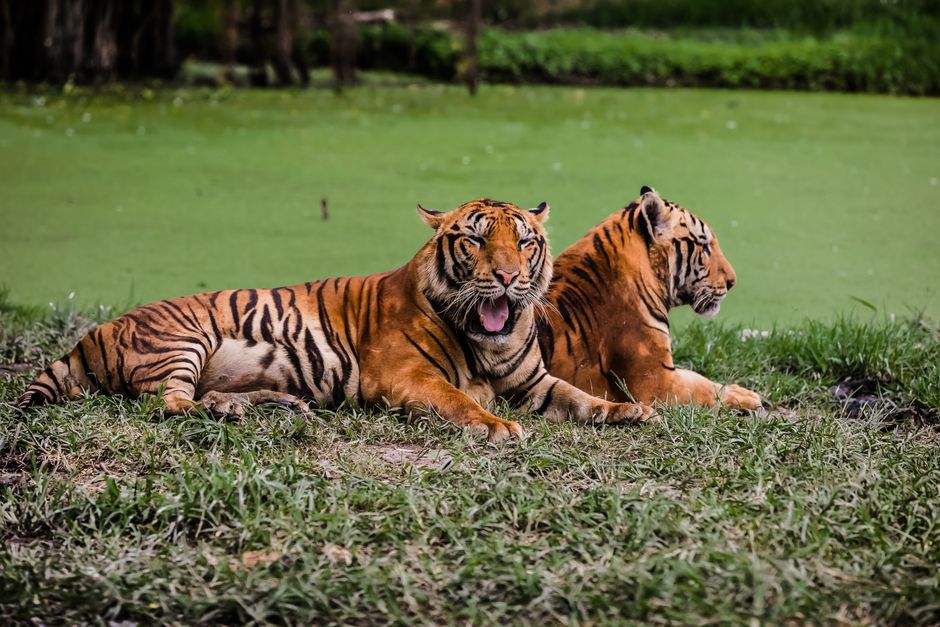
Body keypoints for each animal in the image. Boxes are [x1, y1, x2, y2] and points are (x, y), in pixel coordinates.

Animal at [17, 198, 653, 441]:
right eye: (474, 240)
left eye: (524, 242)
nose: (504, 276)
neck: (490, 342)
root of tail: (93, 332)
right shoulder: (403, 377)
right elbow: (458, 401)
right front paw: (497, 427)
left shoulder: (535, 381)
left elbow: (580, 397)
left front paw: (630, 411)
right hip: (182, 341)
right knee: (167, 404)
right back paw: (228, 411)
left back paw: (262, 405)